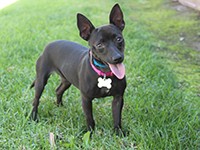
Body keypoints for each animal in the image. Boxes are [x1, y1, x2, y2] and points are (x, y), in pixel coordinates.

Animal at [30, 3, 126, 134]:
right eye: (99, 45)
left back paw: (59, 106)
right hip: (41, 81)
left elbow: (117, 117)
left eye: (118, 39)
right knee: (36, 99)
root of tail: (47, 46)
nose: (117, 58)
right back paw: (33, 117)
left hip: (66, 80)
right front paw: (90, 134)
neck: (104, 73)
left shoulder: (118, 98)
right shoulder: (86, 99)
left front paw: (119, 133)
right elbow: (89, 118)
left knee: (58, 90)